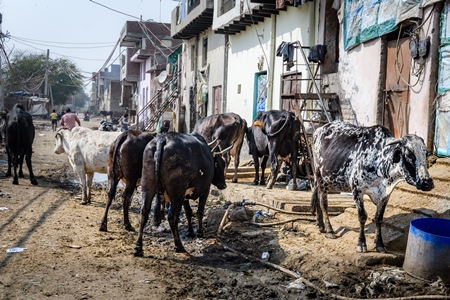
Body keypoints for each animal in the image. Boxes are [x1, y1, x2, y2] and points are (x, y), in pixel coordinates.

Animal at [312, 120, 434, 252]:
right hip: (320, 177)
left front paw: (379, 244)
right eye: (409, 154)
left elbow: (378, 218)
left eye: (425, 154)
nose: (427, 183)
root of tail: (321, 128)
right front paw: (361, 243)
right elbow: (362, 216)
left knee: (317, 198)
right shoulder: (357, 190)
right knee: (323, 203)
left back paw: (320, 225)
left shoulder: (385, 195)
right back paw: (329, 230)